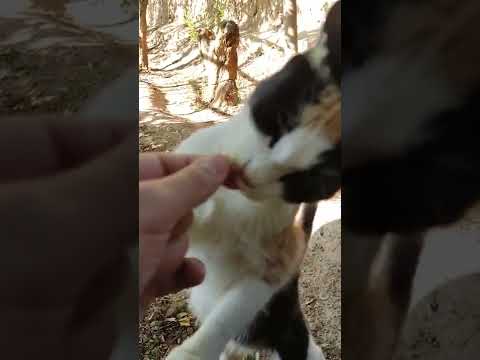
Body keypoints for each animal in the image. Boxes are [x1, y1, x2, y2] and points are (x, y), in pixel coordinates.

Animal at [165, 5, 342, 360]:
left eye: (305, 179)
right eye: (278, 121)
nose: (248, 174)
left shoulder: (276, 264)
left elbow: (230, 312)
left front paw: (192, 353)